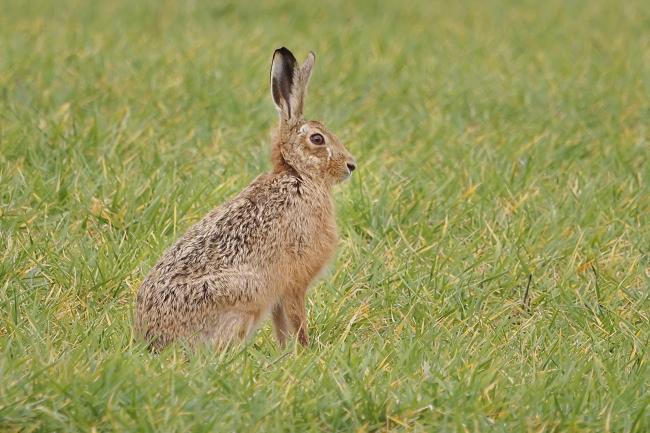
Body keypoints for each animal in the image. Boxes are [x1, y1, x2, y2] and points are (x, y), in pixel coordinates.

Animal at [135, 47, 357, 351]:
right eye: (317, 139)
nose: (351, 165)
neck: (298, 175)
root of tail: (152, 338)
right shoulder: (294, 283)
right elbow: (297, 320)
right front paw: (305, 350)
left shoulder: (280, 296)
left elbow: (282, 326)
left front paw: (288, 352)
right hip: (245, 294)